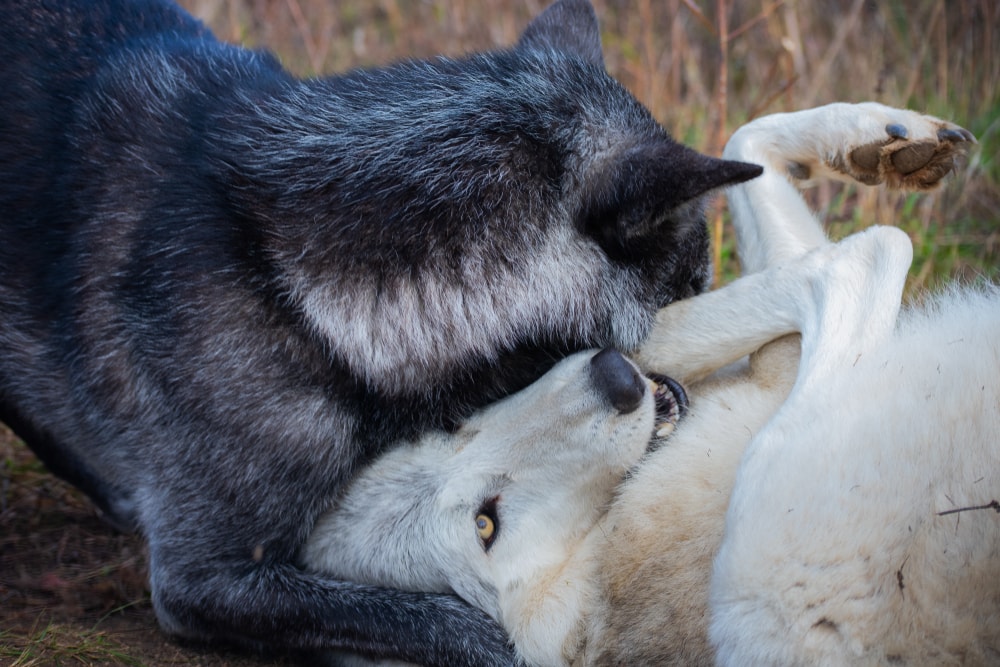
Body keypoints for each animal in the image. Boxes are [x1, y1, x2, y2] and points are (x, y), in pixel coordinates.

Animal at [303, 103, 996, 666]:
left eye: (454, 423)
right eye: (484, 525)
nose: (614, 377)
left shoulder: (768, 368)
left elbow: (745, 142)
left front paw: (884, 137)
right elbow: (836, 268)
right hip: (756, 578)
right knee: (871, 259)